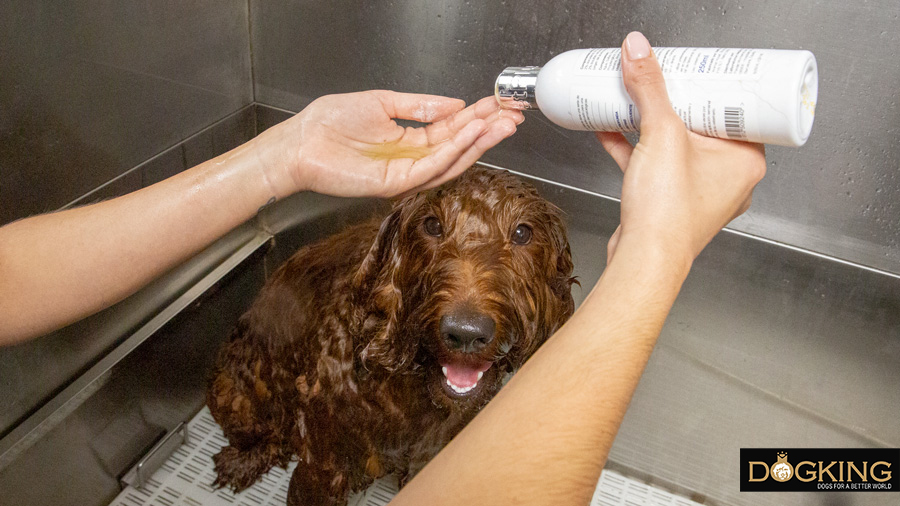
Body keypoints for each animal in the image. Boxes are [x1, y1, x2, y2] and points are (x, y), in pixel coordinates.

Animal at [207, 167, 576, 506]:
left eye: (523, 232)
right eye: (431, 225)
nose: (466, 332)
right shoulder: (323, 464)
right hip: (233, 394)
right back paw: (240, 461)